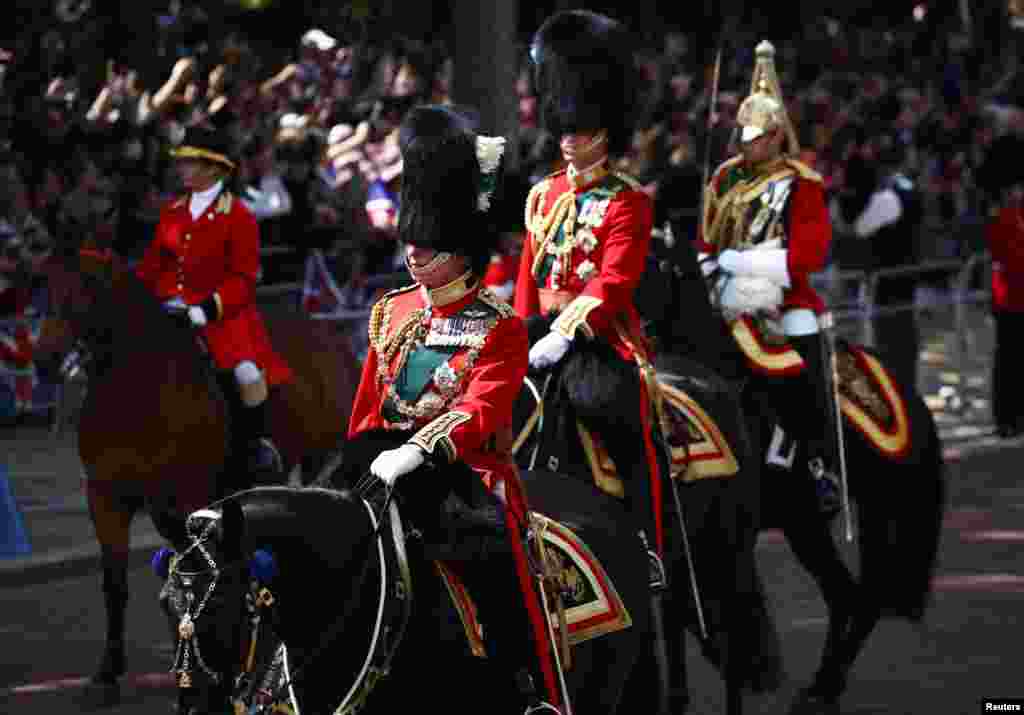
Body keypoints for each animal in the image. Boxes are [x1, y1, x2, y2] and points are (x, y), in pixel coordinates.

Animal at [33, 243, 360, 700]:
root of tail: (331, 338)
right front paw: (107, 673)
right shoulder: (106, 498)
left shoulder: (186, 497)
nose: (43, 361)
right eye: (44, 284)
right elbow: (115, 585)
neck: (133, 391)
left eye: (79, 290)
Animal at [643, 231, 946, 708]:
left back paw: (823, 687)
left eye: (650, 267)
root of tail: (911, 393)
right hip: (817, 522)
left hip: (837, 517)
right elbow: (683, 621)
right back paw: (824, 683)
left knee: (860, 596)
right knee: (852, 596)